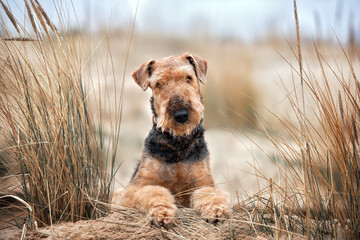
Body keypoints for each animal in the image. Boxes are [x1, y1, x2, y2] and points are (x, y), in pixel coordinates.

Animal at [120, 53, 228, 229]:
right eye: (159, 84)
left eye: (188, 78)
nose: (181, 115)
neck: (177, 144)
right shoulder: (133, 189)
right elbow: (154, 191)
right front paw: (162, 212)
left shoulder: (203, 182)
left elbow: (209, 194)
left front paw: (216, 210)